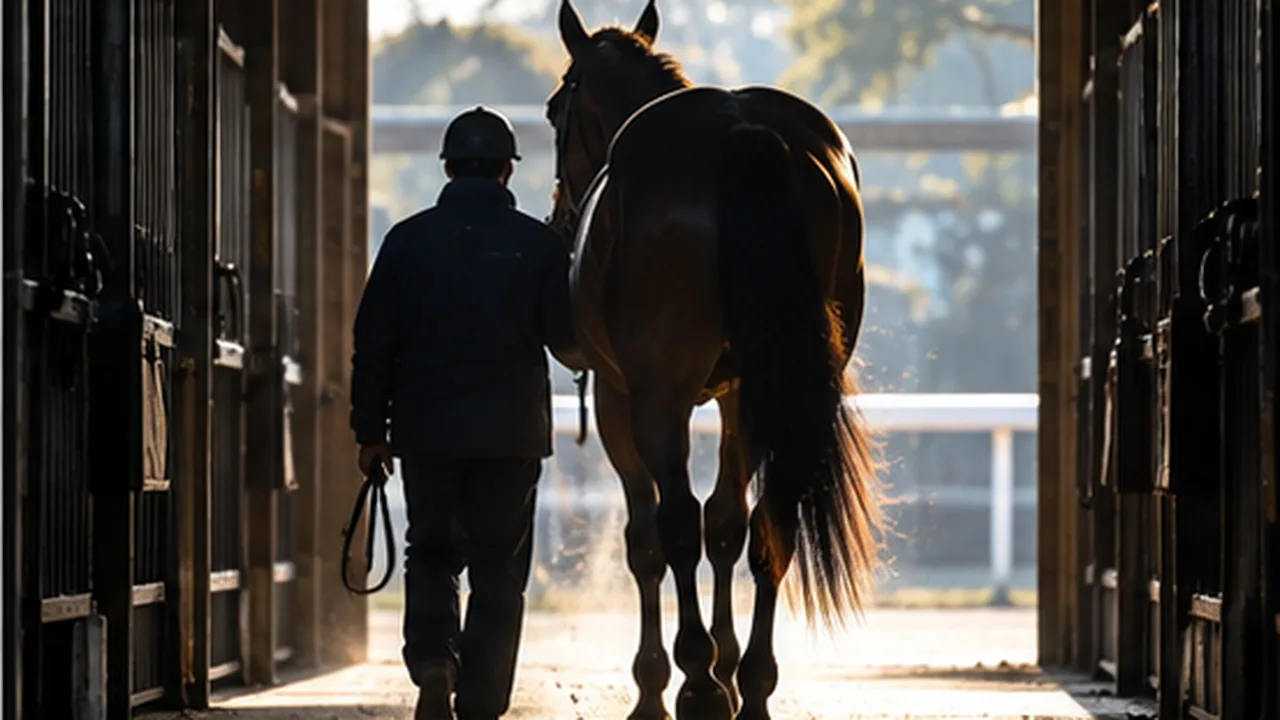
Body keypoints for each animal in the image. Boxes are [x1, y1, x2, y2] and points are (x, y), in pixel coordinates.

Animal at [544, 1, 884, 718]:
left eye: (555, 107)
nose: (560, 220)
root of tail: (741, 133)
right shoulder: (737, 395)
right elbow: (727, 524)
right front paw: (729, 671)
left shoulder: (620, 402)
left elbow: (648, 540)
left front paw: (662, 682)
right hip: (774, 392)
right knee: (768, 522)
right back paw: (750, 685)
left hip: (658, 398)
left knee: (675, 522)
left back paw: (696, 681)